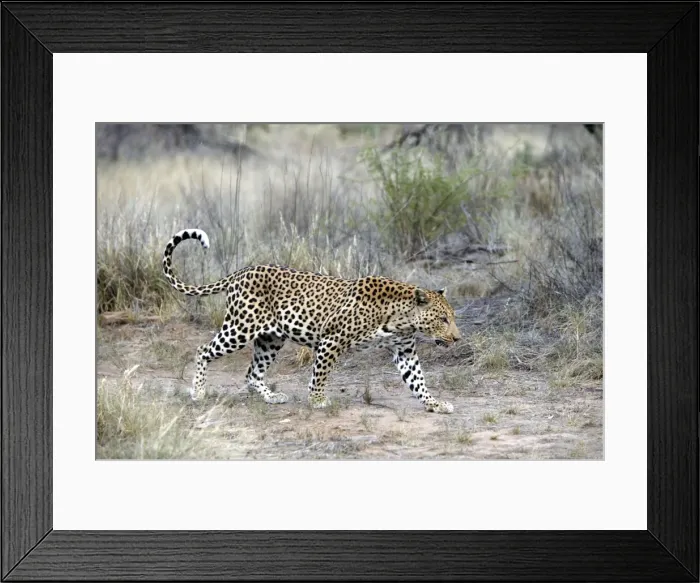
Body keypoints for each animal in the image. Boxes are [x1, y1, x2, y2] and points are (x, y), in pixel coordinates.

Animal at [162, 228, 462, 414]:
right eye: (443, 319)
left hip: (271, 339)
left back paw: (271, 397)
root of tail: (241, 271)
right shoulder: (332, 340)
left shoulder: (405, 351)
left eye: (451, 318)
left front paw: (435, 404)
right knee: (203, 350)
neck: (401, 318)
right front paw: (317, 400)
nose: (457, 338)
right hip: (240, 328)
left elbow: (418, 381)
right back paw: (198, 392)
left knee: (252, 373)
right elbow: (320, 373)